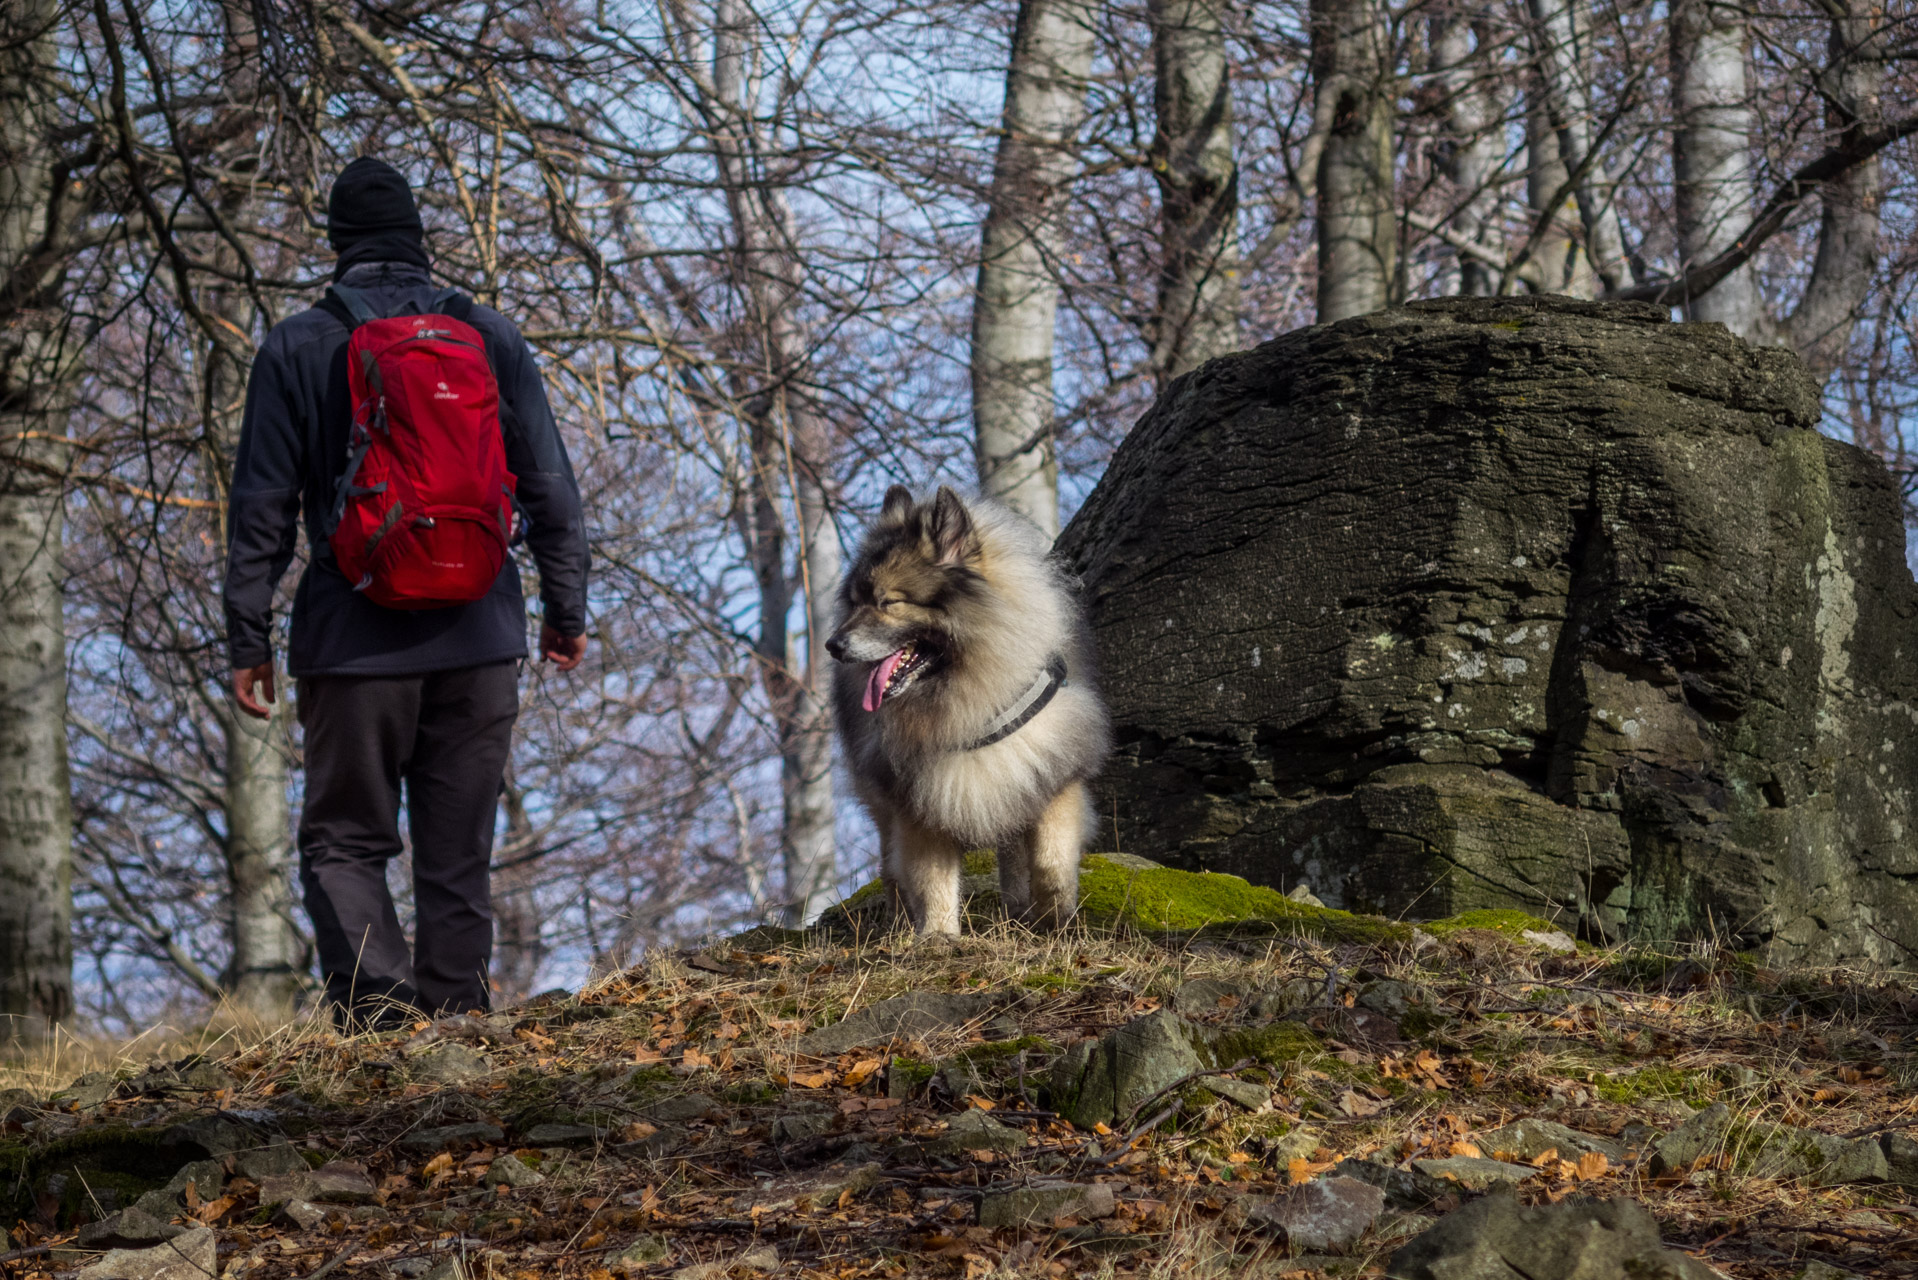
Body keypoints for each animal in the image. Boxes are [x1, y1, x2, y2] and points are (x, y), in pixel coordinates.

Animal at [824, 485, 1112, 936]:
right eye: (854, 603)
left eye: (889, 602)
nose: (833, 646)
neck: (971, 701)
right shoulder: (921, 803)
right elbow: (932, 878)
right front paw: (939, 935)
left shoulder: (1052, 776)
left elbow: (1050, 862)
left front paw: (1055, 918)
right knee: (890, 865)